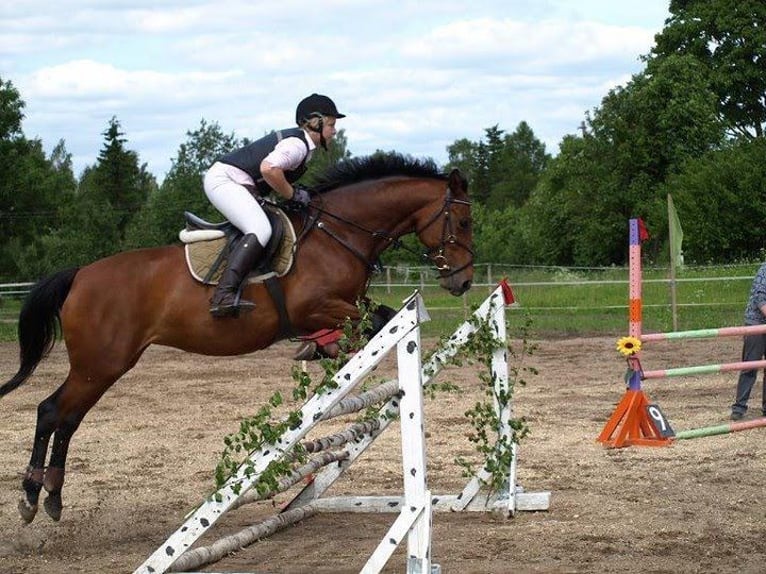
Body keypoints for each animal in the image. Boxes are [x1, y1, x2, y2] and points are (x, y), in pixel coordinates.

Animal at [0, 154, 474, 528]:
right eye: (464, 221)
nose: (463, 282)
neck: (338, 232)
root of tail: (79, 275)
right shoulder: (320, 306)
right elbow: (376, 321)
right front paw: (325, 345)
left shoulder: (345, 305)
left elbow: (379, 319)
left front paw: (322, 347)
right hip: (100, 363)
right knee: (52, 412)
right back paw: (31, 497)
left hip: (105, 365)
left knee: (68, 418)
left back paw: (52, 497)